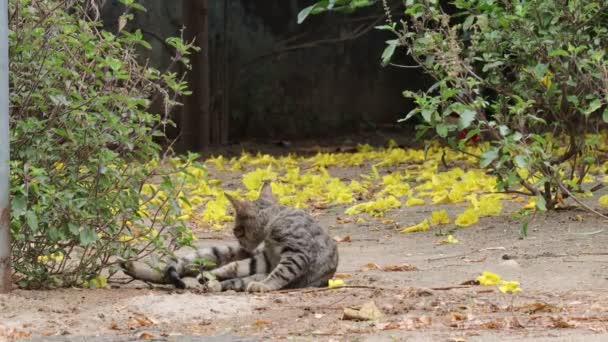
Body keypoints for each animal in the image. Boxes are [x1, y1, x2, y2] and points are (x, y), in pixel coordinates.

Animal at [119, 180, 338, 292]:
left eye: (236, 230)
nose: (238, 240)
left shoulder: (297, 253)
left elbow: (280, 273)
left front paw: (265, 285)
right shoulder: (265, 258)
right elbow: (236, 266)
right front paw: (212, 275)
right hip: (218, 252)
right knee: (177, 270)